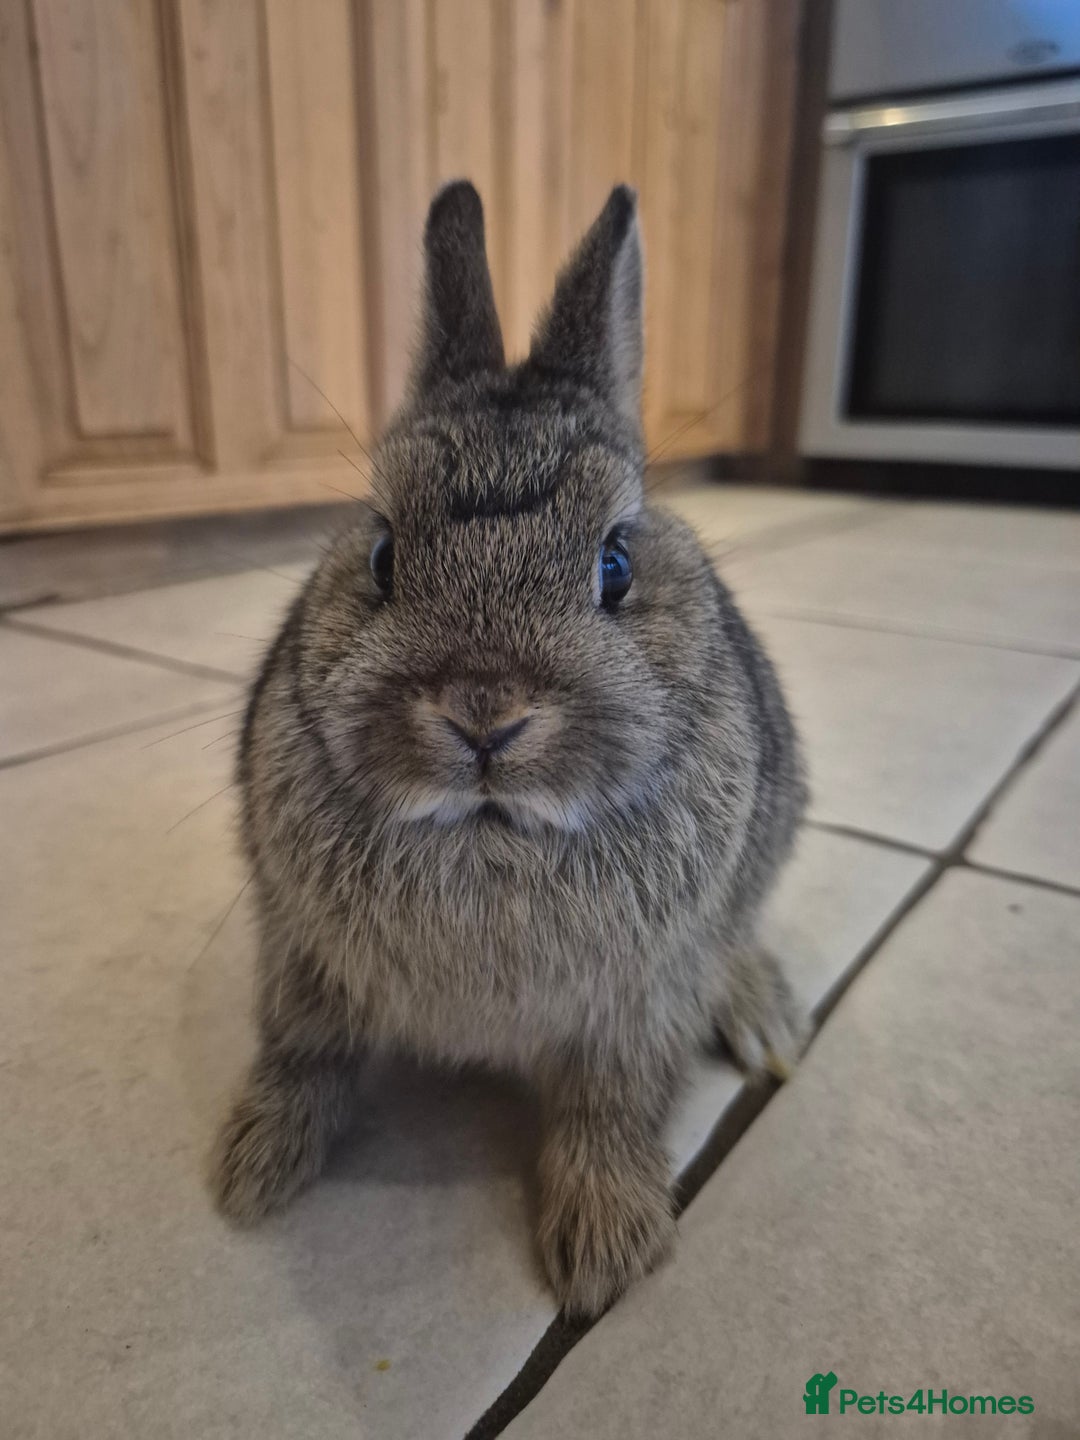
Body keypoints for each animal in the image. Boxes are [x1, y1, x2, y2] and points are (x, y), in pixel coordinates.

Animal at [209, 180, 808, 1318]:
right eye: (383, 555)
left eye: (615, 565)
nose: (484, 716)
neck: (490, 831)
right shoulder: (296, 953)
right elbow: (300, 1055)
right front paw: (252, 1172)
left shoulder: (641, 1000)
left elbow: (609, 1108)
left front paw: (604, 1253)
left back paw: (766, 1024)